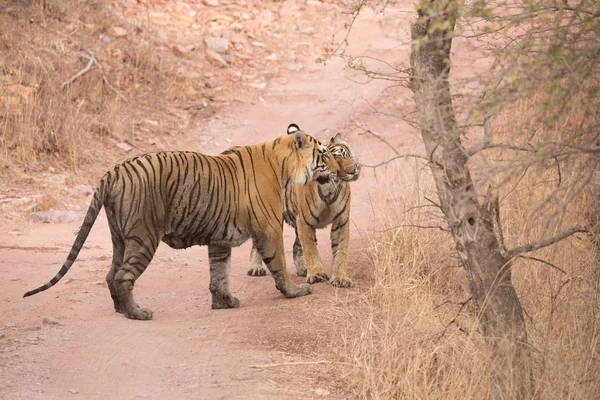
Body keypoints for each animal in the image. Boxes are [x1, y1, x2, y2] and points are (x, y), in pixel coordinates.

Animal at [24, 123, 338, 320]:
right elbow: (278, 264)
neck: (283, 165)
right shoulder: (268, 228)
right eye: (323, 153)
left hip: (119, 237)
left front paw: (224, 302)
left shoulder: (219, 240)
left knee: (111, 273)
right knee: (123, 276)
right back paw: (137, 314)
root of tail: (115, 169)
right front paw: (295, 291)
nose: (337, 169)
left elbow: (219, 273)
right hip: (143, 236)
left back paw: (121, 309)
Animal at [245, 133, 358, 286]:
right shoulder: (305, 222)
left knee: (295, 246)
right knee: (258, 244)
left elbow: (341, 250)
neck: (328, 189)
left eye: (348, 155)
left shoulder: (341, 221)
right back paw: (255, 267)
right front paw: (316, 274)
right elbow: (311, 249)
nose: (354, 171)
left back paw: (303, 268)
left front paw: (340, 278)